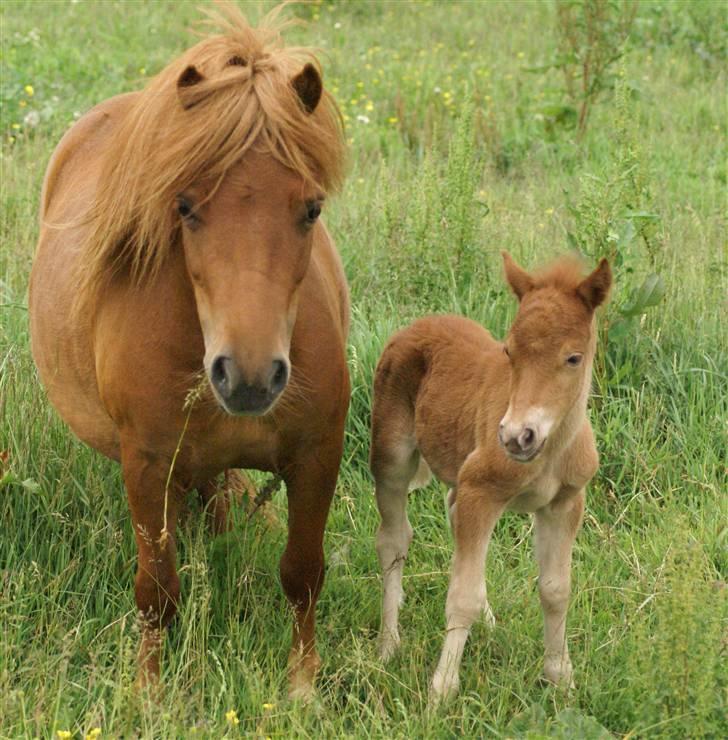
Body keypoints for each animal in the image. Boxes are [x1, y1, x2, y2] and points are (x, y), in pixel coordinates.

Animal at [28, 5, 346, 700]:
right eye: (184, 207)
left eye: (311, 208)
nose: (249, 377)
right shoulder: (147, 466)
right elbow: (157, 589)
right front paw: (148, 691)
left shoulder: (317, 455)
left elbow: (303, 573)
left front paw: (302, 687)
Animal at [366, 253, 612, 700]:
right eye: (510, 352)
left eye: (573, 358)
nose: (516, 436)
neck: (550, 451)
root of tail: (415, 326)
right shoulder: (481, 491)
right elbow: (460, 595)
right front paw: (441, 690)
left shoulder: (565, 502)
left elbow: (556, 590)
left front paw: (561, 678)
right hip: (391, 458)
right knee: (393, 540)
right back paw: (388, 645)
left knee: (450, 513)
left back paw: (488, 624)